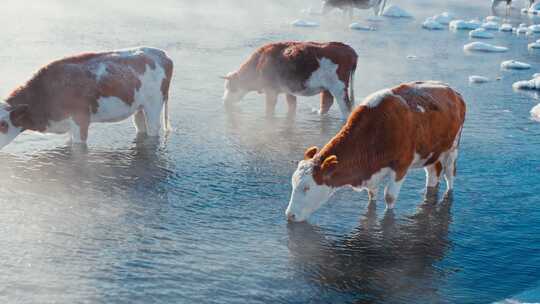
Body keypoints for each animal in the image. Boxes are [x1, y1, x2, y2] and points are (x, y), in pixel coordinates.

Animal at [0, 46, 173, 150]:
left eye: (2, 125)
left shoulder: (80, 119)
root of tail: (160, 53)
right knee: (141, 127)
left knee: (153, 129)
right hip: (139, 107)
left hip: (154, 104)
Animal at [221, 41, 356, 120]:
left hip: (338, 87)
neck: (259, 63)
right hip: (327, 88)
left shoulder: (271, 91)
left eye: (230, 86)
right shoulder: (288, 89)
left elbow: (269, 108)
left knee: (346, 108)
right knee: (327, 102)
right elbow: (291, 105)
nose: (225, 101)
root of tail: (348, 48)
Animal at [284, 82, 466, 222]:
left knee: (449, 175)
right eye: (293, 184)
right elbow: (372, 195)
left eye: (307, 188)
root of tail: (453, 91)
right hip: (430, 152)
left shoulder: (401, 166)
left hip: (452, 149)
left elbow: (389, 197)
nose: (290, 215)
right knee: (433, 172)